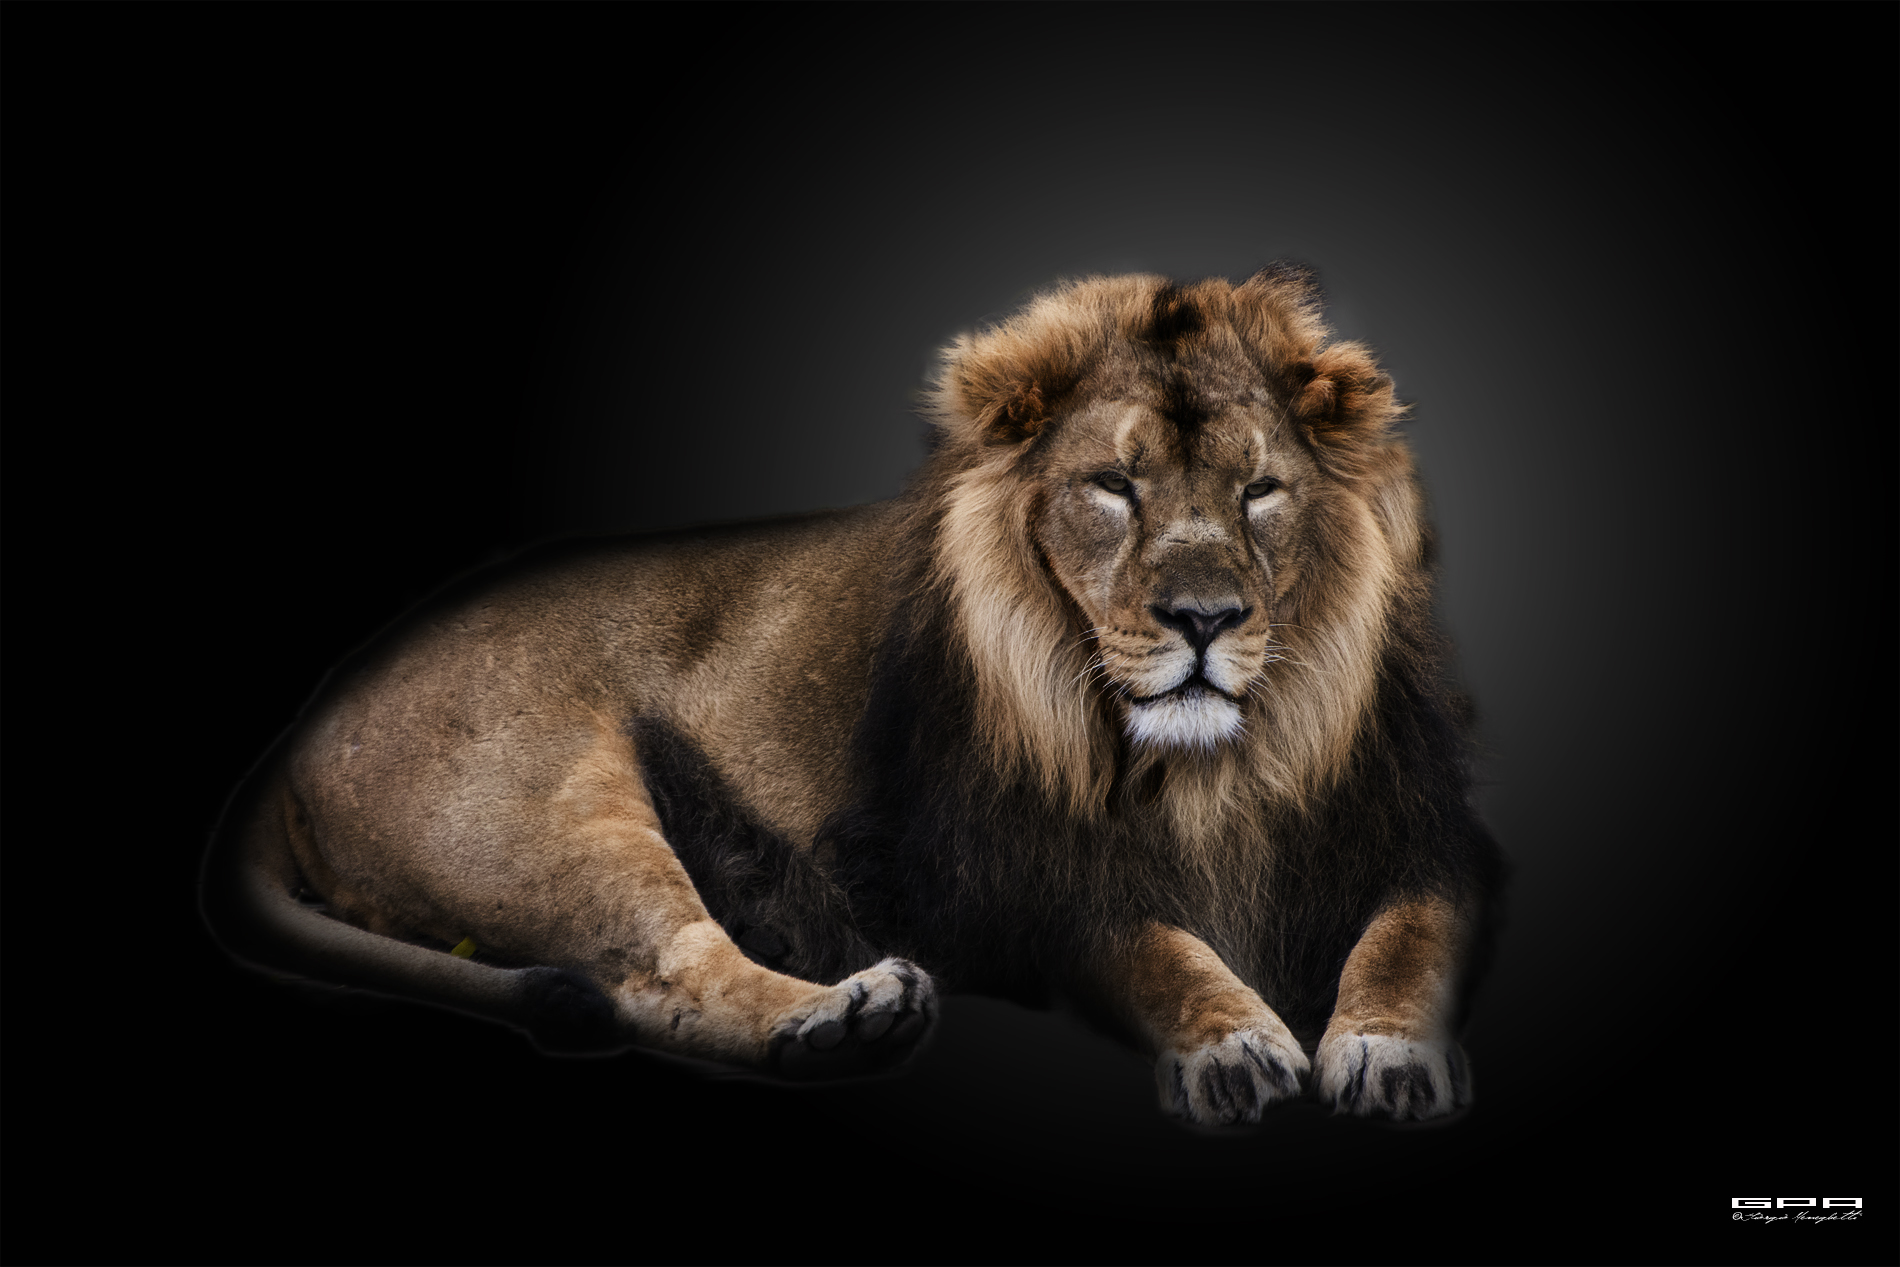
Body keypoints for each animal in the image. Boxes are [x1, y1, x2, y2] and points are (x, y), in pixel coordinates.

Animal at [203, 268, 1502, 1126]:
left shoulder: (1422, 840)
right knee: (664, 975)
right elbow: (1151, 947)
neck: (1214, 766)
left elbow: (1408, 940)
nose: (1202, 620)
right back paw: (841, 1016)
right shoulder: (1008, 886)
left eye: (1260, 491)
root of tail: (309, 723)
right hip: (555, 802)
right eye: (1110, 487)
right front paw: (1229, 1037)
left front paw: (1385, 1049)